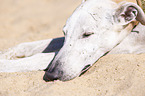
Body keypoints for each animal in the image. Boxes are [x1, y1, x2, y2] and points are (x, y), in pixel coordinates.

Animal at [0, 0, 145, 82]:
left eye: (88, 34)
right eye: (64, 32)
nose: (51, 75)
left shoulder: (127, 45)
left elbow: (39, 57)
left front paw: (4, 64)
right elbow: (35, 44)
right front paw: (6, 53)